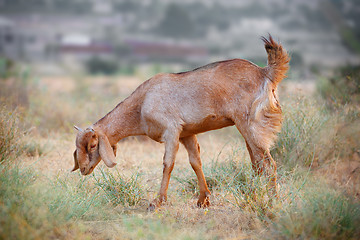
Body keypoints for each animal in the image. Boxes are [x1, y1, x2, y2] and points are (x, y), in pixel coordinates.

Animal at [72, 35, 290, 210]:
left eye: (93, 145)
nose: (83, 169)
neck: (142, 103)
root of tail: (265, 73)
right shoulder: (187, 133)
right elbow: (195, 162)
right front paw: (203, 200)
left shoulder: (171, 131)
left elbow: (167, 163)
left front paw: (157, 202)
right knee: (257, 164)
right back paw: (254, 199)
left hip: (250, 126)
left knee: (268, 165)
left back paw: (273, 202)